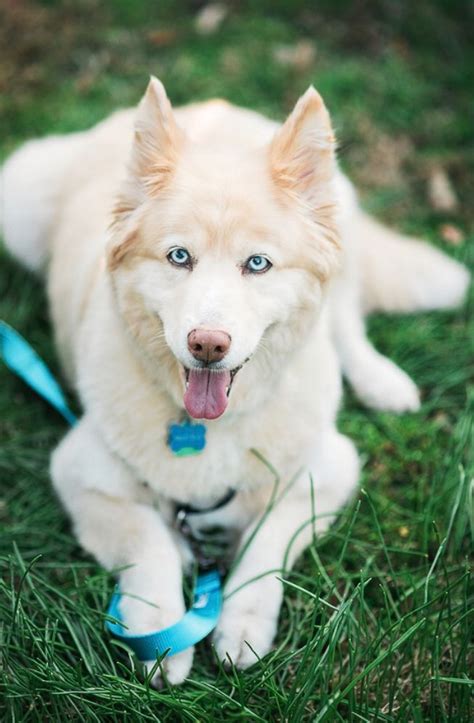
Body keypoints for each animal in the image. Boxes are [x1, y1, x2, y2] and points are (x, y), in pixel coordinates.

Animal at [1, 78, 468, 684]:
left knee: (346, 316)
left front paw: (241, 626)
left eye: (258, 264)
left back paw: (381, 380)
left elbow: (267, 544)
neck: (207, 427)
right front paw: (162, 632)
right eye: (179, 256)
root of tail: (211, 105)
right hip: (18, 188)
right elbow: (148, 540)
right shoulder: (81, 473)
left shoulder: (328, 471)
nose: (208, 344)